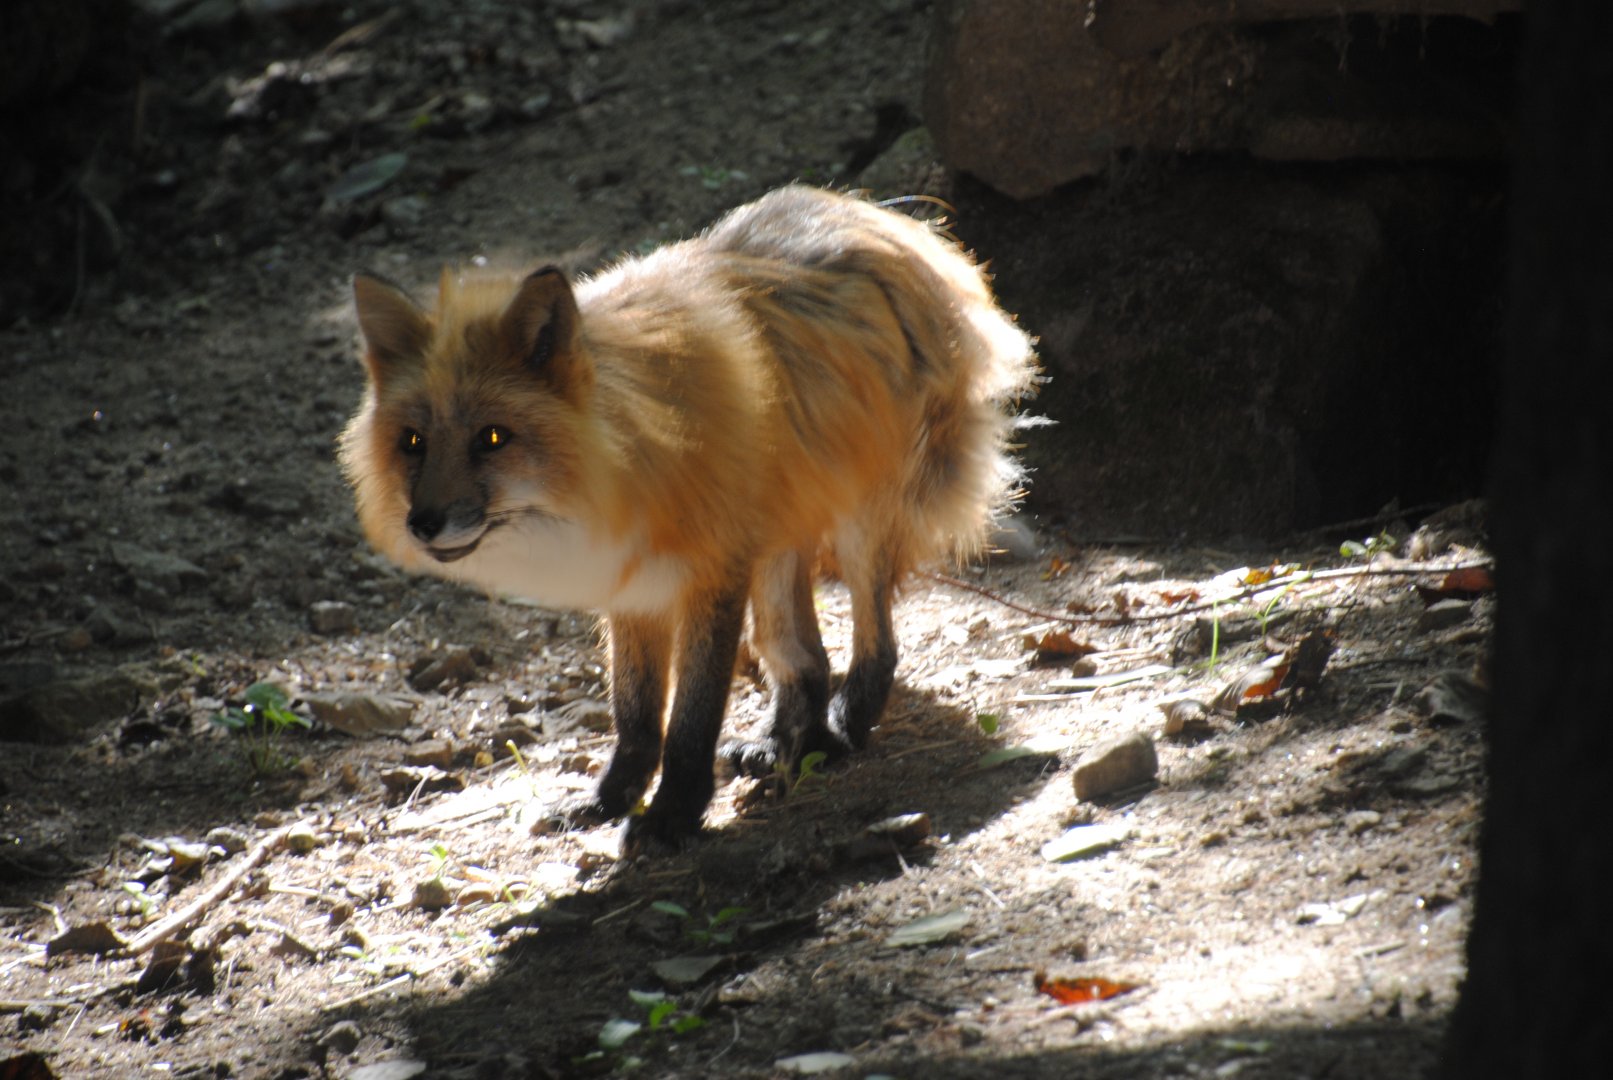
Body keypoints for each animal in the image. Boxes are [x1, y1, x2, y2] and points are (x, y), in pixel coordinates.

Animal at [339, 185, 1037, 852]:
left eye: (491, 438)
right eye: (412, 443)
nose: (423, 523)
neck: (627, 461)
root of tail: (882, 219)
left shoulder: (712, 573)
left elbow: (691, 722)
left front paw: (673, 816)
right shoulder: (632, 585)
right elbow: (635, 717)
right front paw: (608, 802)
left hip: (856, 524)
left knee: (876, 646)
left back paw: (840, 732)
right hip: (776, 550)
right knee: (803, 660)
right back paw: (787, 741)